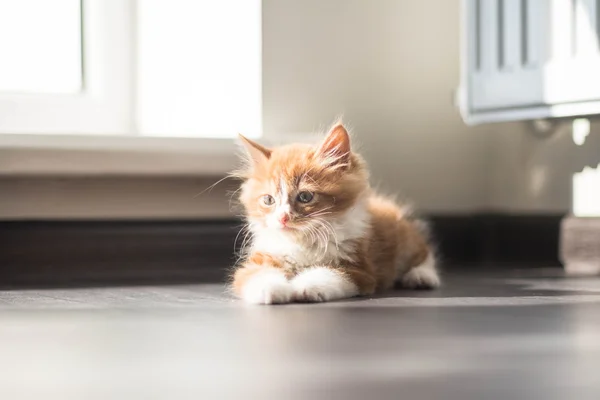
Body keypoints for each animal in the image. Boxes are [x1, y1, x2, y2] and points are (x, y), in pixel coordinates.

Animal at [232, 122, 438, 304]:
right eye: (268, 200)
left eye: (305, 197)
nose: (282, 218)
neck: (303, 242)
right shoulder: (260, 259)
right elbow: (255, 275)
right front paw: (272, 290)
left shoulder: (358, 269)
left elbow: (328, 273)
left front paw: (303, 286)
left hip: (405, 239)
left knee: (424, 252)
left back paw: (422, 276)